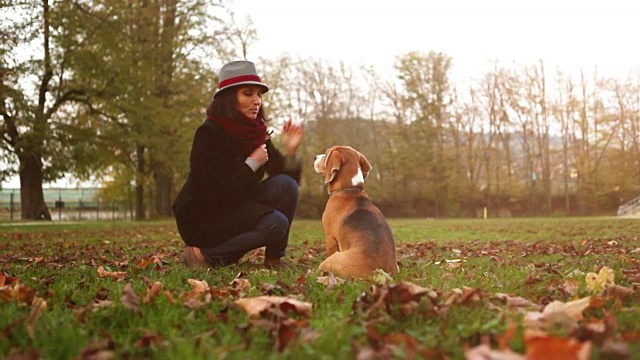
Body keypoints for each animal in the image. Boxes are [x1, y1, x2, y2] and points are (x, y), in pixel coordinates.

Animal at [314, 146, 398, 278]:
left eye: (327, 154)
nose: (315, 157)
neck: (350, 189)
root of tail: (380, 272)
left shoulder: (330, 238)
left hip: (332, 259)